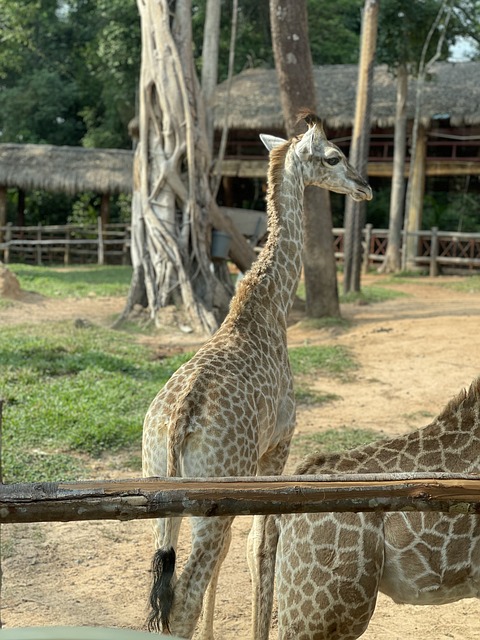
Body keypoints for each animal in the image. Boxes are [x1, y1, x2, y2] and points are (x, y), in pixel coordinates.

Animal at [141, 111, 374, 640]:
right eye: (334, 157)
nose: (365, 186)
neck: (269, 308)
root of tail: (176, 426)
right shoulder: (279, 446)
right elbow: (262, 545)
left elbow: (242, 548)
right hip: (209, 492)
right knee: (185, 594)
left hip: (158, 487)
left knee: (166, 588)